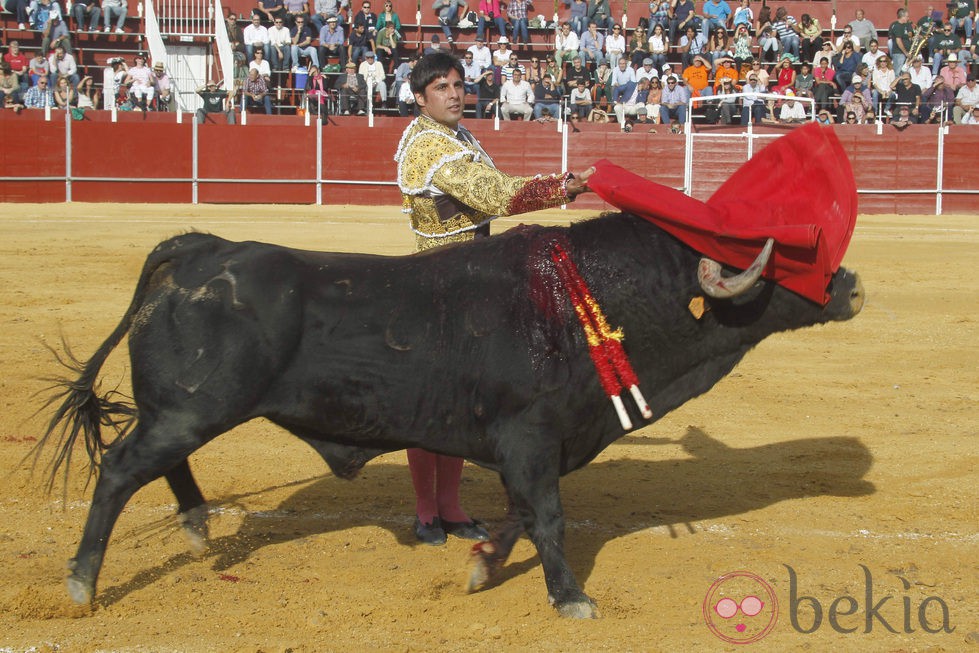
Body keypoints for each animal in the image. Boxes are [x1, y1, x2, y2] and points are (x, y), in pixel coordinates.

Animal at [40, 213, 864, 616]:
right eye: (786, 263)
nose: (852, 285)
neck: (587, 300)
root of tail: (202, 248)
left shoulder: (535, 446)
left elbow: (519, 515)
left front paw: (480, 566)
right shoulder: (530, 435)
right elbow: (548, 516)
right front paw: (571, 598)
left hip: (185, 409)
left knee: (157, 460)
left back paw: (196, 524)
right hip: (193, 409)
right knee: (119, 469)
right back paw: (82, 584)